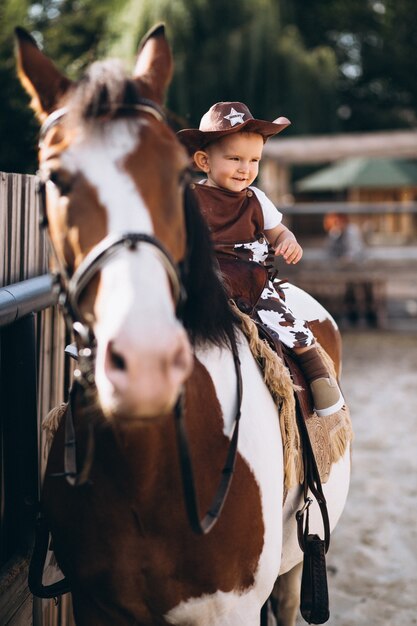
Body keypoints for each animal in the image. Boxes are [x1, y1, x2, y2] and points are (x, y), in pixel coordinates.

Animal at [15, 25, 348, 624]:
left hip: (293, 568)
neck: (149, 470)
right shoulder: (95, 604)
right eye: (55, 179)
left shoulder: (231, 609)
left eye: (174, 175)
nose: (145, 362)